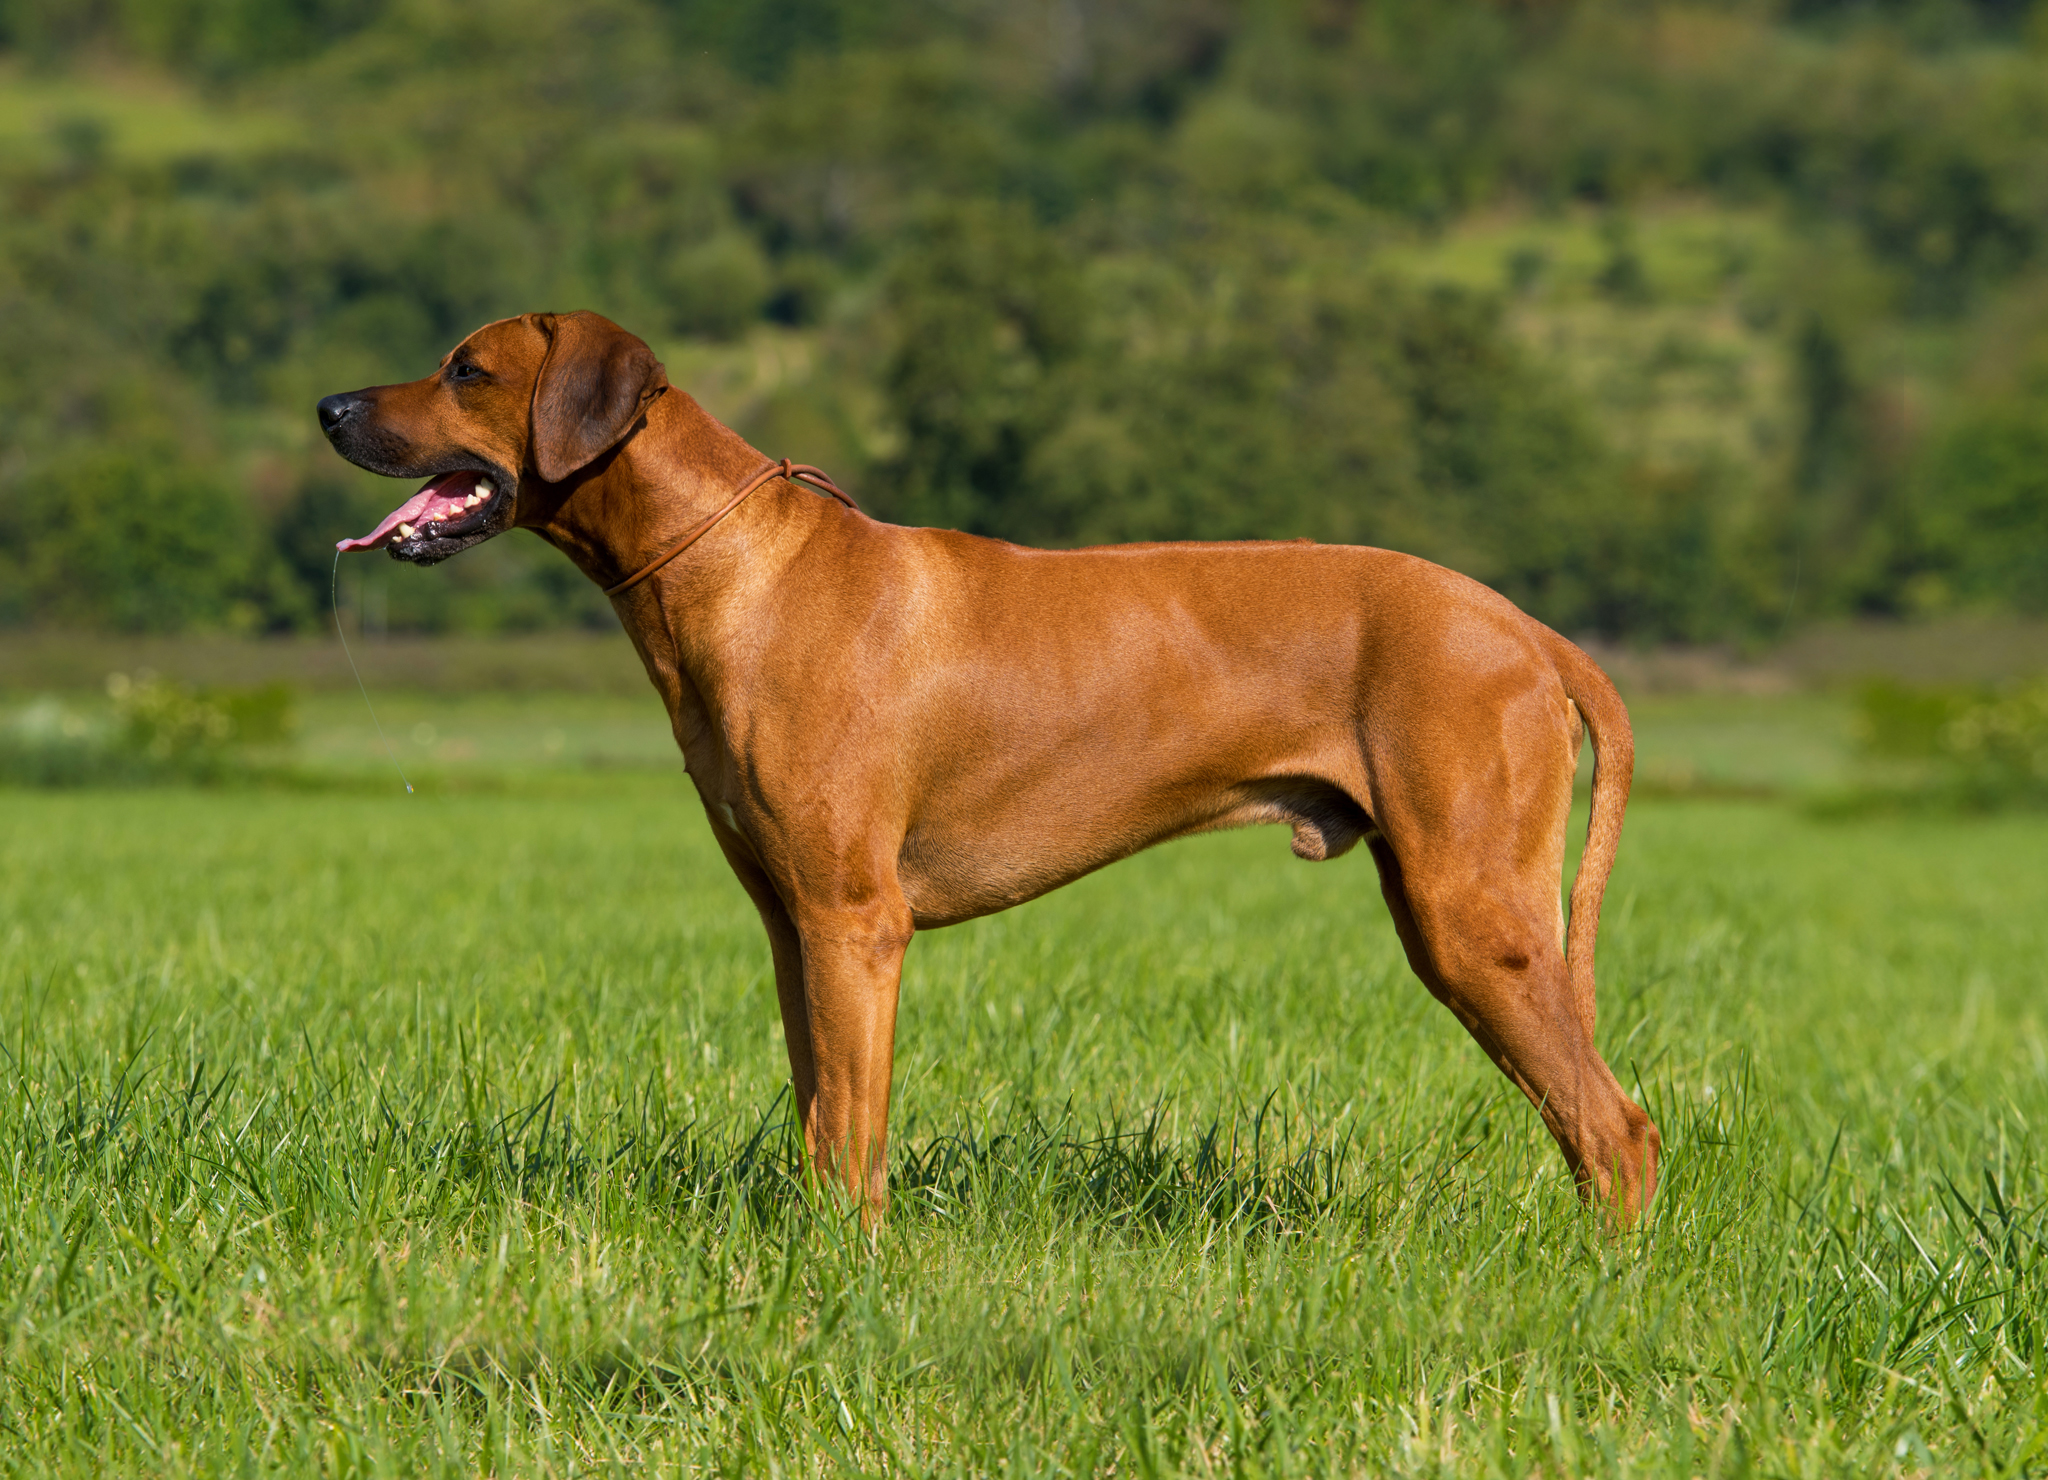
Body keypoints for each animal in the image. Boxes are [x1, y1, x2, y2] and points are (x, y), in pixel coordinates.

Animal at [323, 307, 1662, 1220]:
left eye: (467, 370)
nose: (329, 407)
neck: (736, 566)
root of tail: (1522, 626)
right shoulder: (791, 925)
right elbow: (818, 1115)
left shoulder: (855, 920)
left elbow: (853, 1131)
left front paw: (847, 1269)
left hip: (1468, 912)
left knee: (1618, 1130)